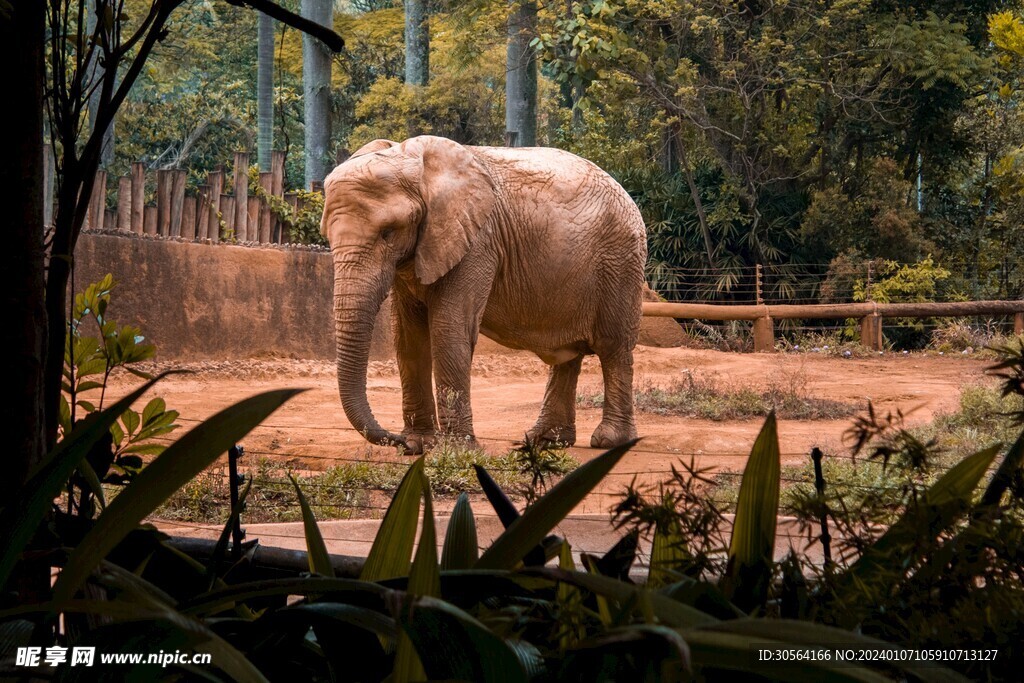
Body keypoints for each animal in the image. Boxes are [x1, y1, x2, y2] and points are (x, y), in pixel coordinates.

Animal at [320, 135, 647, 454]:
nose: (394, 440)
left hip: (620, 261)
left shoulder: (477, 243)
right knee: (569, 355)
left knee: (613, 346)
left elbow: (449, 329)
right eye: (328, 236)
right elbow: (409, 338)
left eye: (388, 232)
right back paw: (544, 441)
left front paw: (455, 451)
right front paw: (418, 444)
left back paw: (610, 441)